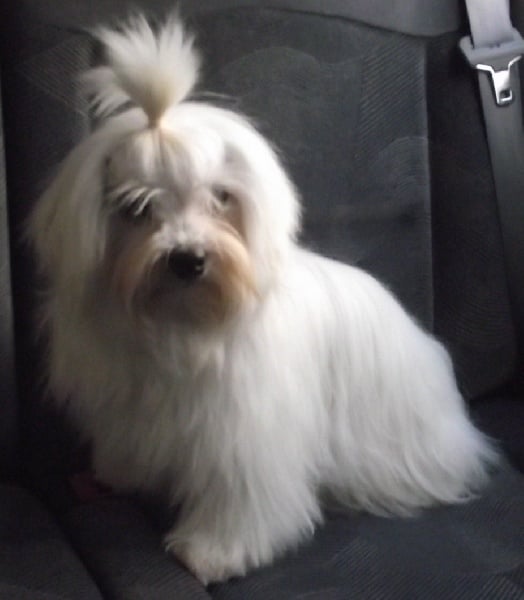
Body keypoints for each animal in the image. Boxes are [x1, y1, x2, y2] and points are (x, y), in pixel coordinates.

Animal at [28, 15, 497, 584]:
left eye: (221, 197)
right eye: (135, 207)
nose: (187, 258)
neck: (186, 323)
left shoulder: (246, 435)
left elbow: (242, 496)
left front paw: (212, 551)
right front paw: (123, 473)